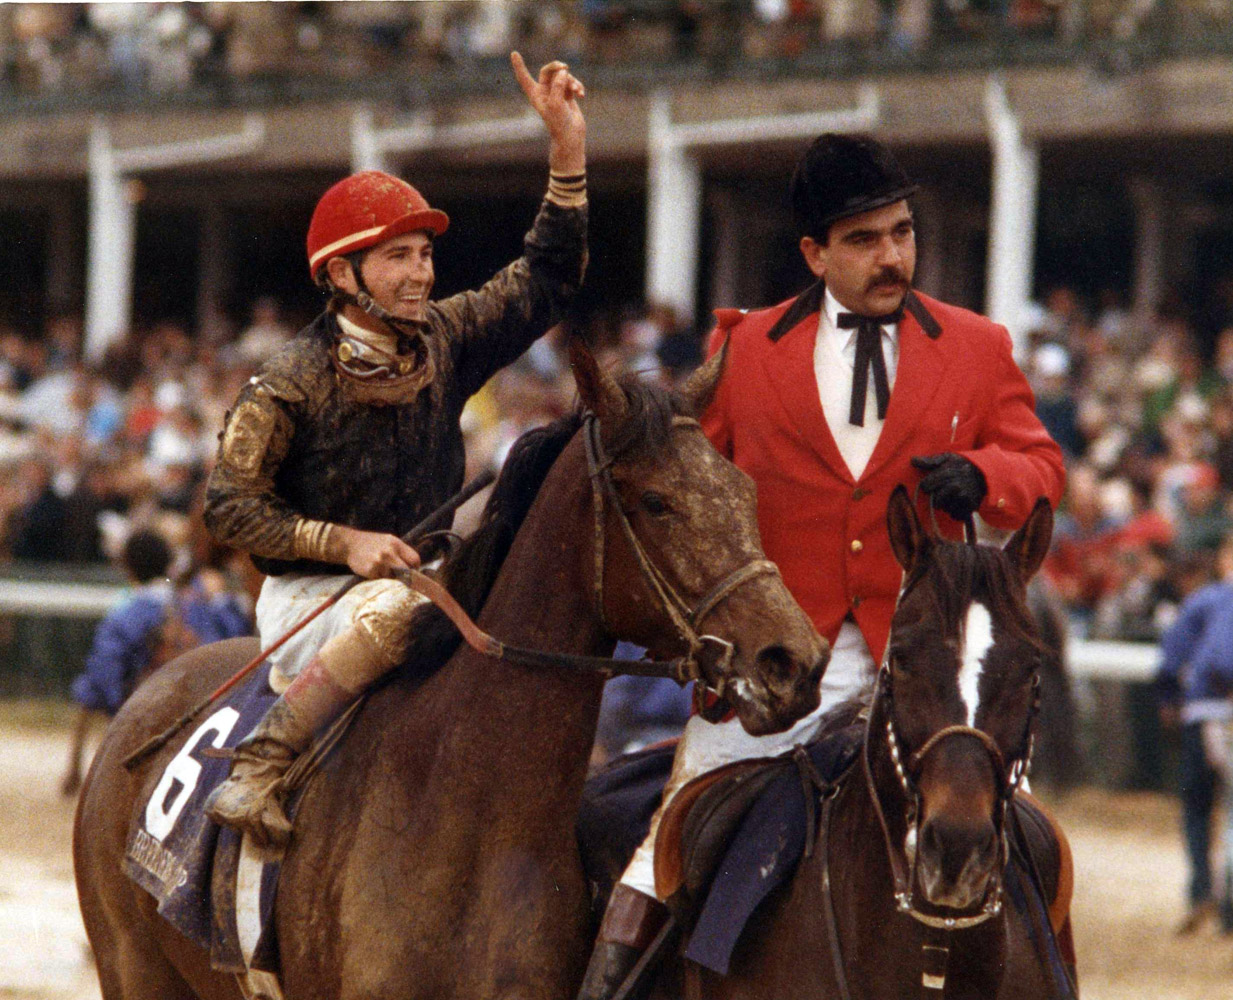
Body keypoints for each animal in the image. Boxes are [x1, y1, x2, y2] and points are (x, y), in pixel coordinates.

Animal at [74, 340, 828, 996]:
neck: (468, 824)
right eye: (657, 502)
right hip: (134, 970)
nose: (794, 660)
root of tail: (141, 706)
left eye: (744, 489)